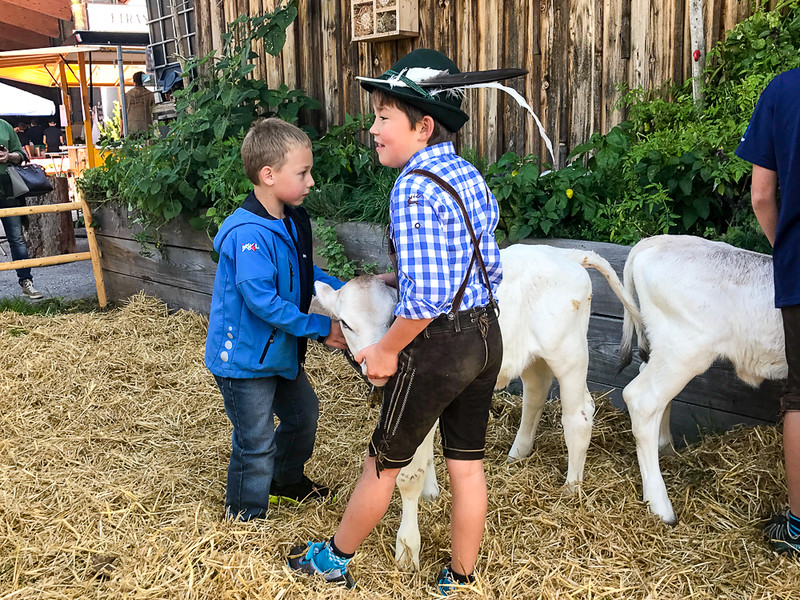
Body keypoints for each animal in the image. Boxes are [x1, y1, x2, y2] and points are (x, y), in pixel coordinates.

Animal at [316, 243, 640, 568]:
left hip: (569, 354)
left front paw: (407, 549)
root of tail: (565, 253)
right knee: (536, 392)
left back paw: (572, 487)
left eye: (392, 320)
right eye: (346, 323)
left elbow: (409, 476)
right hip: (532, 358)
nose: (378, 367)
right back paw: (517, 454)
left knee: (579, 416)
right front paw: (431, 493)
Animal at [616, 234, 784, 524]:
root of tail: (657, 241)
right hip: (685, 350)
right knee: (642, 399)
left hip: (668, 351)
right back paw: (661, 507)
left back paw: (667, 449)